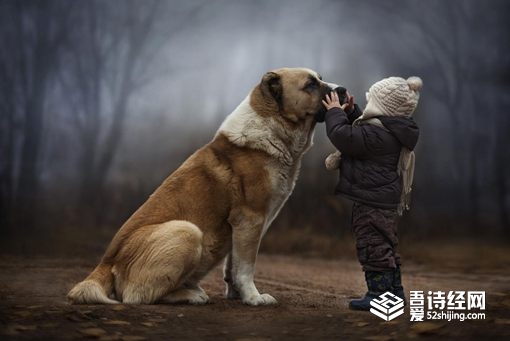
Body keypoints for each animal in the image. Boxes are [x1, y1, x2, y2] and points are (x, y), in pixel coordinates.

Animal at [66, 67, 338, 306]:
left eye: (319, 78)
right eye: (310, 85)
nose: (342, 90)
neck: (273, 128)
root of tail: (105, 262)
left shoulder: (241, 227)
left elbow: (233, 265)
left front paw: (237, 295)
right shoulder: (250, 219)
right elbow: (246, 266)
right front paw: (254, 298)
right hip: (186, 231)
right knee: (138, 296)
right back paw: (192, 295)